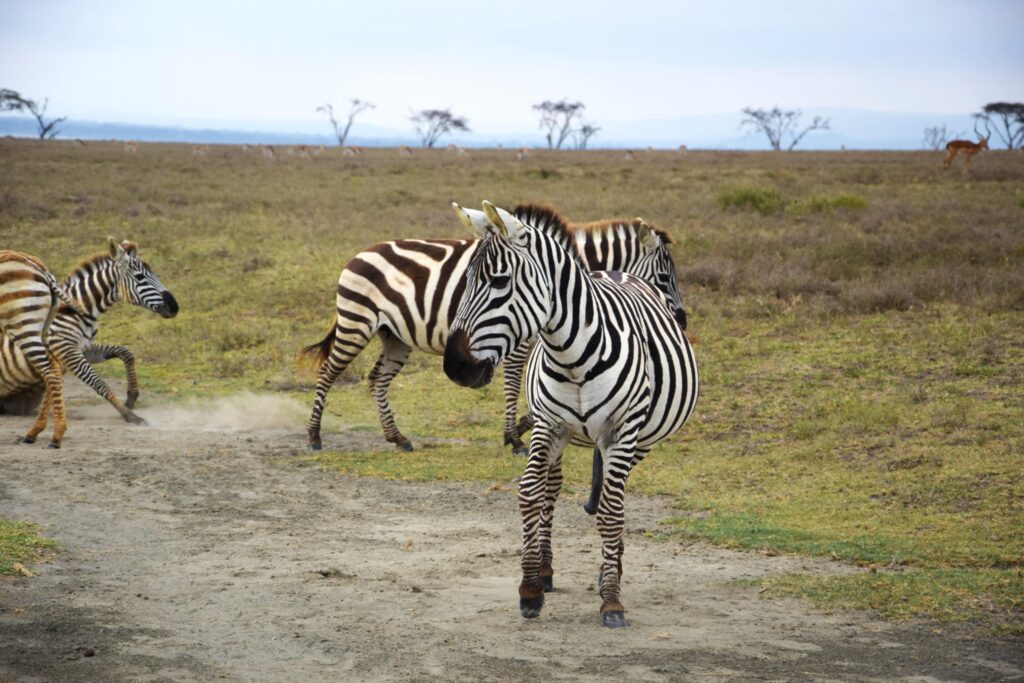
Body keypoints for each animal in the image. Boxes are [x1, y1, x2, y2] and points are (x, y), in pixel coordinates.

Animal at [0, 238, 178, 427]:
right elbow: (99, 383)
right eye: (140, 277)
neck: (80, 313)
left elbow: (126, 352)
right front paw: (129, 415)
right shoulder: (66, 349)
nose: (175, 307)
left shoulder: (84, 348)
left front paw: (131, 398)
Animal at [0, 250, 86, 447]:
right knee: (54, 366)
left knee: (50, 372)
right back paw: (34, 433)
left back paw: (56, 436)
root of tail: (40, 267)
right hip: (42, 328)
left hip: (23, 326)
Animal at [302, 204, 687, 452]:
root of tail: (359, 253)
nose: (681, 321)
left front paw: (522, 425)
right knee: (328, 372)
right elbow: (515, 382)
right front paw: (514, 436)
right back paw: (314, 436)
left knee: (376, 379)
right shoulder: (519, 339)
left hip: (395, 336)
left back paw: (397, 437)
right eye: (664, 277)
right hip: (356, 323)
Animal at [443, 201, 698, 628]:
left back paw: (612, 567)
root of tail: (616, 271)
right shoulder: (548, 424)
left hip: (641, 439)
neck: (571, 355)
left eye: (499, 281)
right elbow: (532, 493)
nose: (454, 367)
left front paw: (611, 599)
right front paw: (530, 586)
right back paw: (548, 568)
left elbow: (611, 510)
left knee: (615, 494)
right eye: (465, 282)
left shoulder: (623, 432)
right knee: (556, 488)